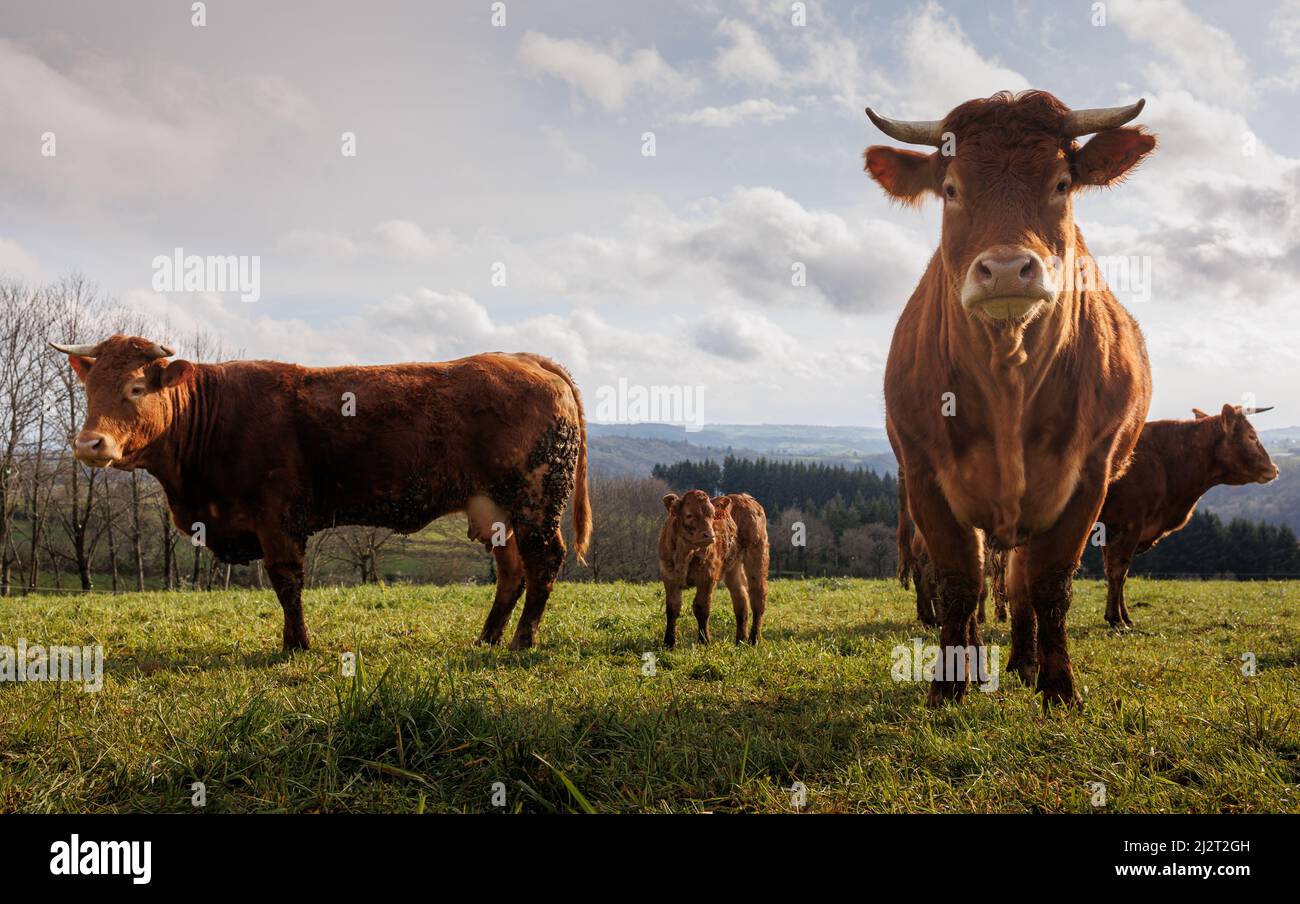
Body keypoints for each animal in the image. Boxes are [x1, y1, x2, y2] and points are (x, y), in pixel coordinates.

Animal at [48, 335, 592, 652]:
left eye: (137, 388)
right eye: (90, 388)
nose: (90, 444)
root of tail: (523, 358)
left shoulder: (278, 518)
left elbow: (287, 583)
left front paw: (296, 645)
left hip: (537, 499)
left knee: (545, 561)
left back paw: (522, 641)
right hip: (496, 509)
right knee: (513, 571)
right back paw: (487, 638)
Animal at [658, 490, 769, 648]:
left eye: (712, 516)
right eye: (689, 515)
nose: (709, 535)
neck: (685, 553)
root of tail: (745, 497)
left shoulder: (707, 576)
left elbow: (701, 607)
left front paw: (704, 641)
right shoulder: (668, 576)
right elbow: (672, 608)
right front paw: (669, 643)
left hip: (757, 554)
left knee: (758, 597)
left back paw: (754, 640)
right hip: (733, 567)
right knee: (741, 599)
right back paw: (740, 641)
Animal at [865, 91, 1155, 705]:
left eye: (1062, 183)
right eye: (951, 188)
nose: (1004, 270)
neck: (1008, 379)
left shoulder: (1087, 478)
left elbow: (1047, 584)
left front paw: (1058, 685)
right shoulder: (924, 474)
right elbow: (958, 581)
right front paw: (949, 687)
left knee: (1018, 581)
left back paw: (1023, 660)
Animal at [1099, 404, 1279, 627]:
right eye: (1252, 436)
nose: (1275, 469)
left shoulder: (1112, 531)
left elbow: (1117, 573)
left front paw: (1124, 617)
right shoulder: (1128, 525)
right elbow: (1118, 571)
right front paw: (1116, 620)